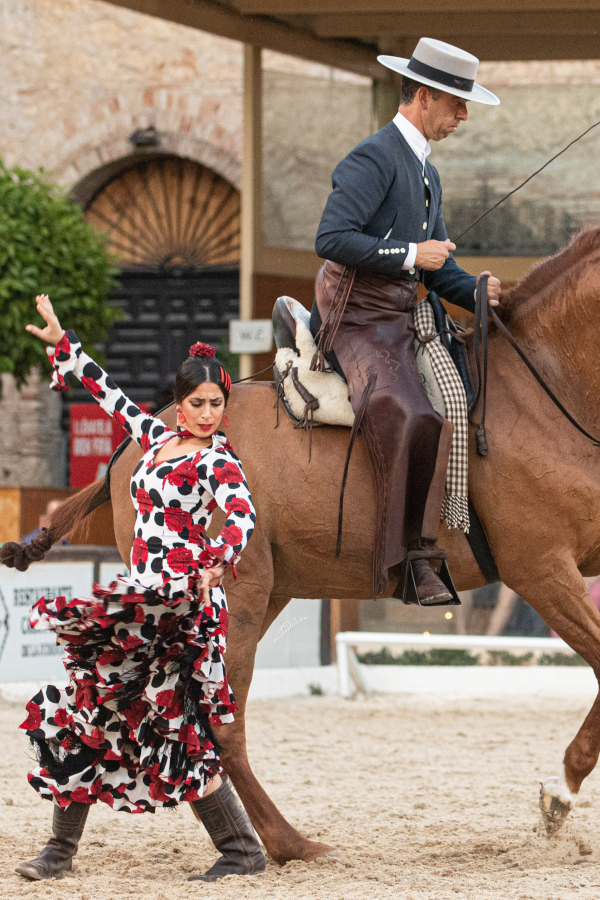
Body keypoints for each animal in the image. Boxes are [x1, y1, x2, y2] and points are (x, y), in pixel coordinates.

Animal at [43, 227, 600, 864]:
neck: (548, 392)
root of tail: (145, 436)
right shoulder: (541, 569)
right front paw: (559, 796)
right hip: (230, 599)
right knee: (214, 720)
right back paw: (280, 843)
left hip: (258, 596)